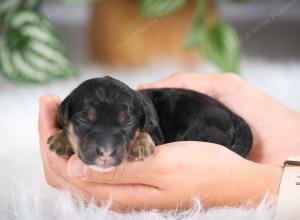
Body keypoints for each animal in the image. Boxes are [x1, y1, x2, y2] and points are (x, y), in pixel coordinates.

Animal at [47, 77, 253, 172]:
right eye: (83, 121)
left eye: (127, 123)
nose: (105, 153)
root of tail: (234, 116)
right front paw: (60, 140)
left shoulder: (155, 132)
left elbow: (146, 133)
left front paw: (140, 144)